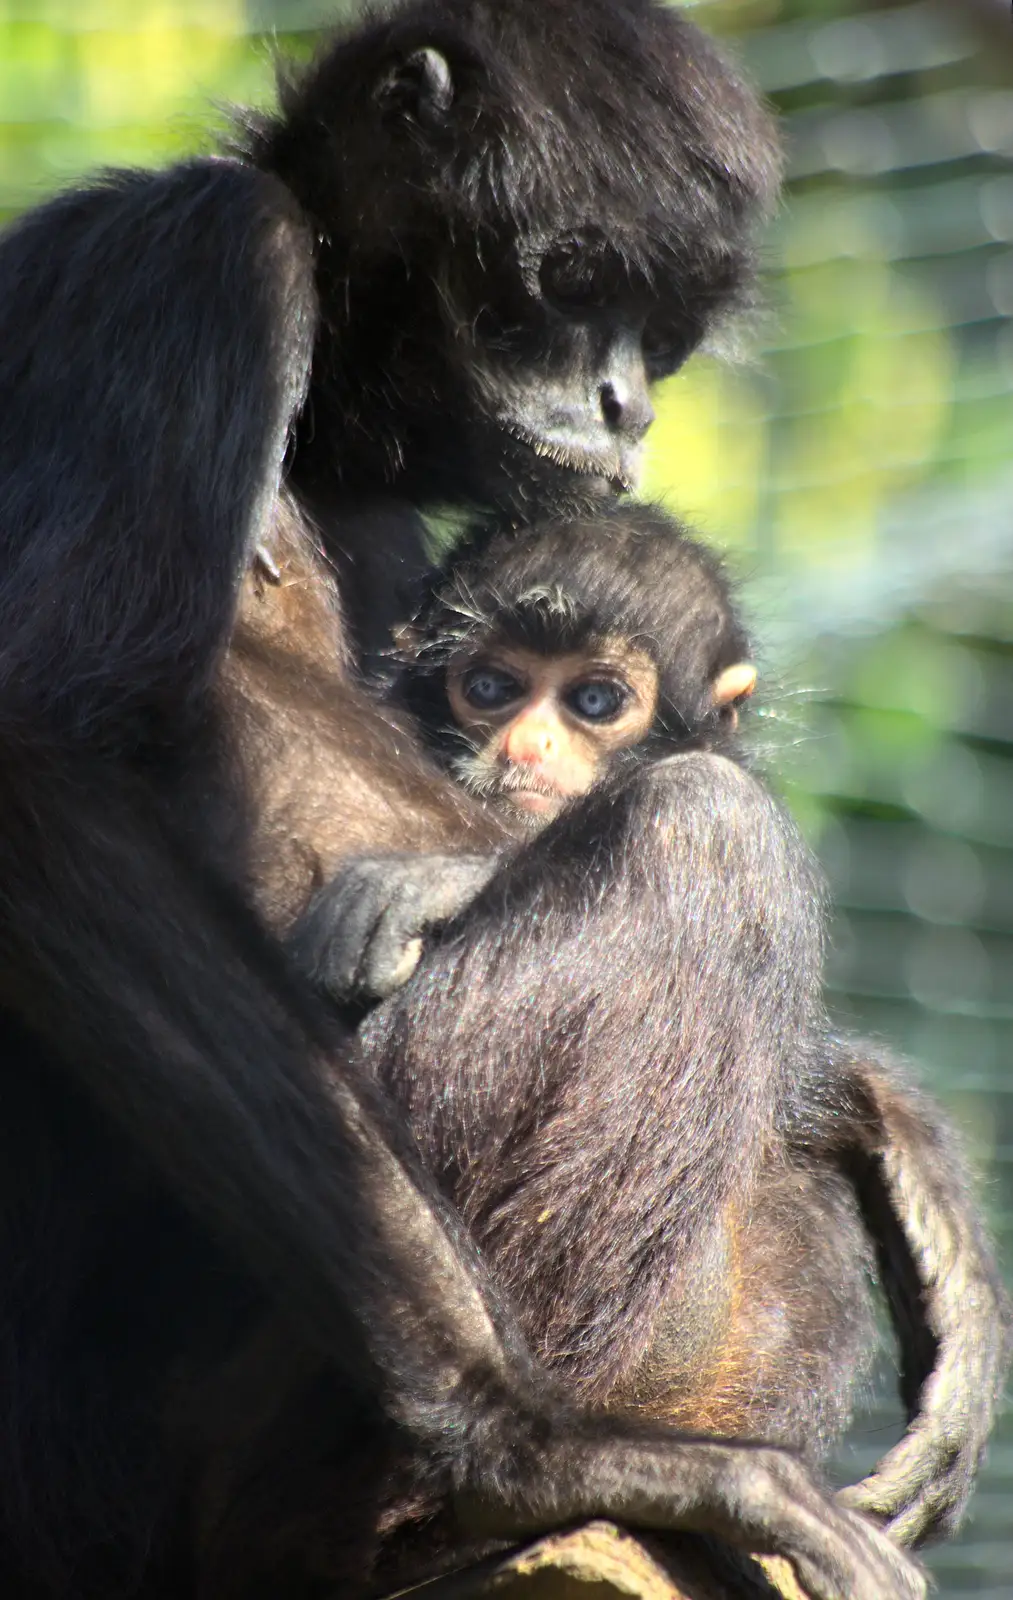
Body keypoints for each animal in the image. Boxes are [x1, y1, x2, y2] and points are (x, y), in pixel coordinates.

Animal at [0, 3, 928, 1600]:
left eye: (657, 338)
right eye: (572, 287)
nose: (623, 400)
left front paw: (876, 1111)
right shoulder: (195, 257)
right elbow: (38, 765)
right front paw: (516, 1439)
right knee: (703, 834)